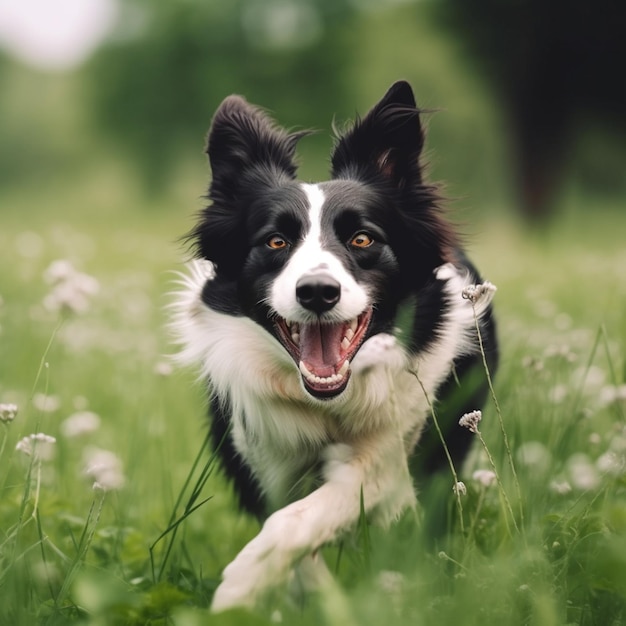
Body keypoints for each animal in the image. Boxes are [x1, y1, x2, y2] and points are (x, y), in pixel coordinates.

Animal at [172, 81, 498, 608]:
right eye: (276, 242)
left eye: (362, 239)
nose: (318, 292)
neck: (325, 405)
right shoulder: (262, 462)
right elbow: (296, 538)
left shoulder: (388, 456)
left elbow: (306, 516)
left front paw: (241, 583)